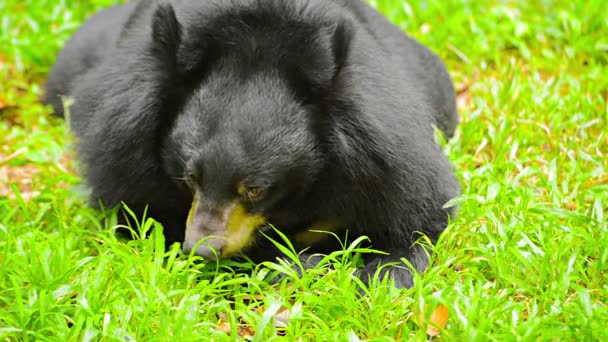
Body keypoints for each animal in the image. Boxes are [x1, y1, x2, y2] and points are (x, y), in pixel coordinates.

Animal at [44, 0, 460, 288]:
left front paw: (376, 276)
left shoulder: (384, 160)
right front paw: (300, 262)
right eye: (189, 177)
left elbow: (421, 223)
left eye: (256, 188)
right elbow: (141, 218)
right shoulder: (122, 149)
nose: (200, 249)